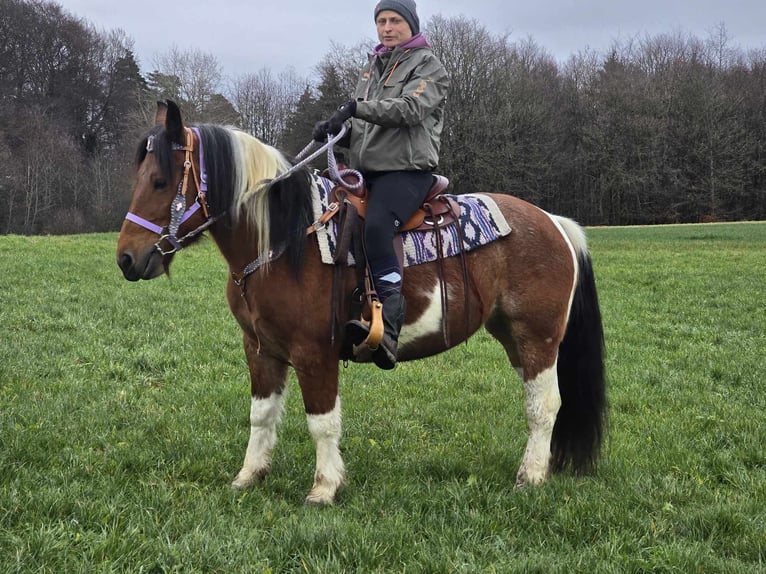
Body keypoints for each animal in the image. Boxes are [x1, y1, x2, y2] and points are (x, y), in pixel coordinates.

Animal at [115, 101, 608, 506]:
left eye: (160, 181)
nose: (126, 259)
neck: (286, 241)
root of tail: (555, 223)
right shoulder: (259, 349)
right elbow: (261, 415)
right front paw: (249, 475)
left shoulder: (314, 352)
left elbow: (322, 421)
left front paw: (324, 488)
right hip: (512, 335)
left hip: (538, 335)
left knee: (543, 405)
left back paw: (530, 476)